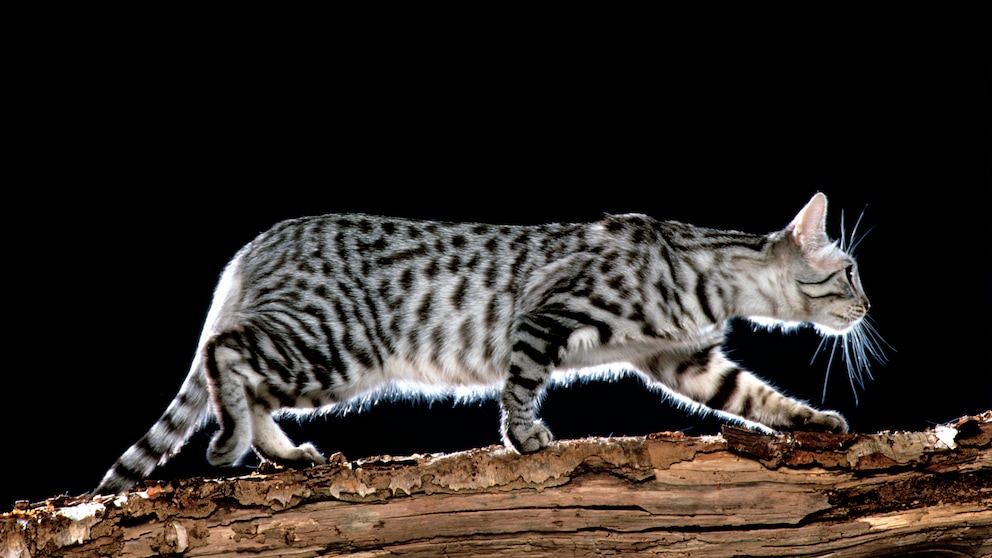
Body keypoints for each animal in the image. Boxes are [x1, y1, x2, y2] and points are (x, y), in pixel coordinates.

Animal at [93, 195, 872, 496]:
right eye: (850, 271)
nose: (868, 306)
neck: (709, 269)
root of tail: (251, 249)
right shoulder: (547, 314)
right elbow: (522, 384)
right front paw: (525, 439)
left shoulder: (681, 359)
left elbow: (755, 396)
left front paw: (814, 420)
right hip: (333, 344)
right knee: (225, 354)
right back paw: (231, 442)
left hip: (323, 354)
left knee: (248, 381)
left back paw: (285, 454)